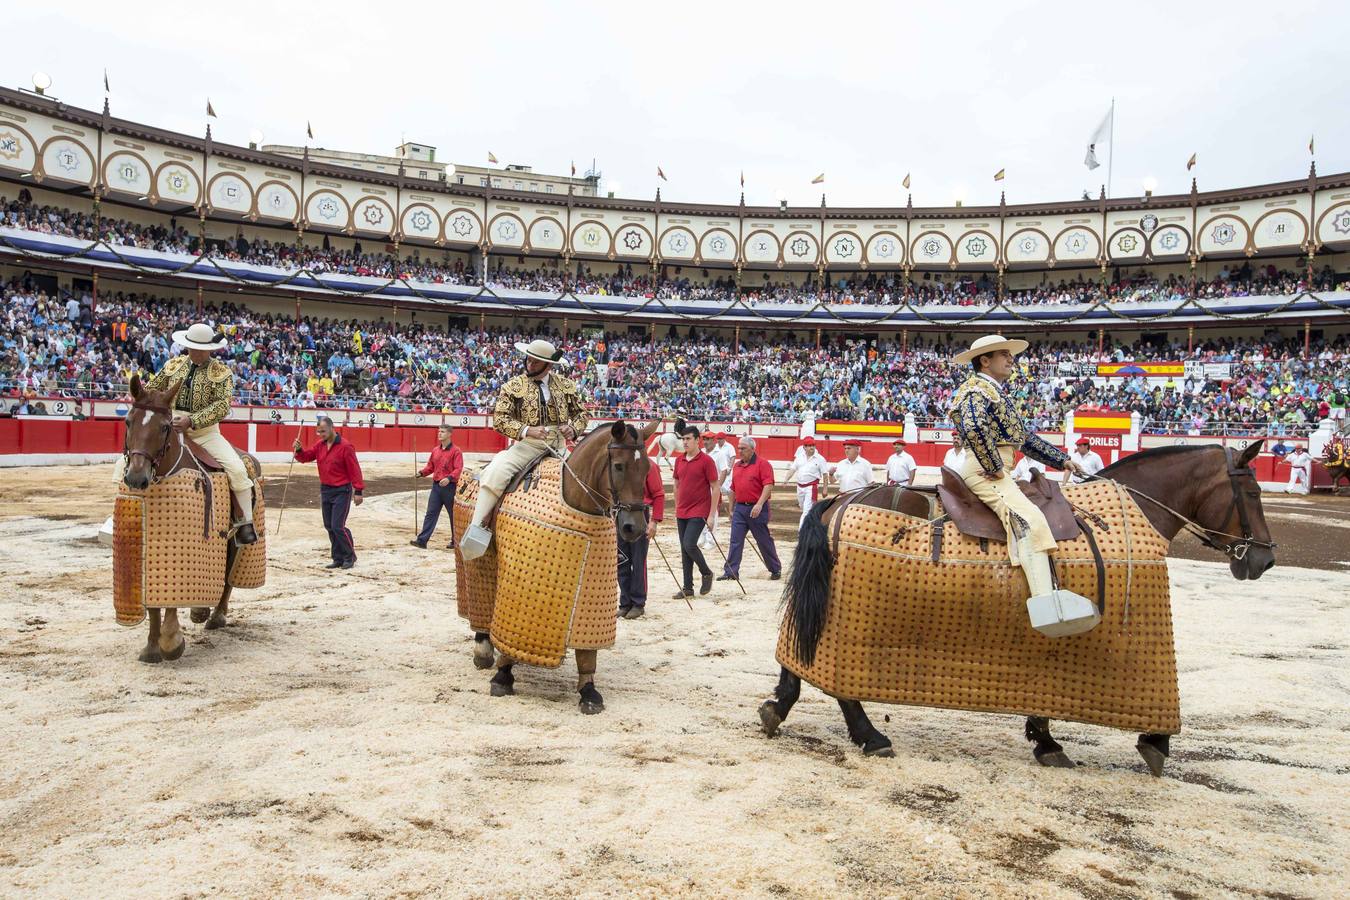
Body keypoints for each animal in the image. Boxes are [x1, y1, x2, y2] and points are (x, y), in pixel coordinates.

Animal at [121, 372, 255, 661]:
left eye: (165, 427)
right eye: (128, 421)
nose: (136, 478)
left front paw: (171, 642)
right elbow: (154, 596)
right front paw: (152, 647)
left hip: (234, 534)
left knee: (228, 572)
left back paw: (216, 616)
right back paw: (200, 610)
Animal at [477, 418, 661, 712]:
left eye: (646, 469)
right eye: (619, 466)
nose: (634, 528)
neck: (576, 499)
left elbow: (587, 654)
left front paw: (589, 692)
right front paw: (502, 676)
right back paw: (482, 649)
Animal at [761, 442, 1274, 777]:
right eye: (1252, 494)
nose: (1264, 560)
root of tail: (841, 500)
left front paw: (1046, 741)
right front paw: (1153, 741)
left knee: (799, 655)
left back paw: (779, 710)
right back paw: (871, 736)